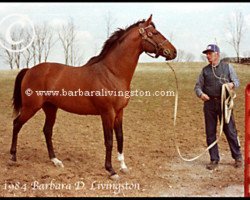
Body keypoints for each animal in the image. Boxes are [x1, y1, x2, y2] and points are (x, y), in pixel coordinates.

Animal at [10, 14, 177, 179]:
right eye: (154, 33)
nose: (173, 52)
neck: (111, 73)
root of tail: (29, 70)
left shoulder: (119, 112)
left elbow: (120, 137)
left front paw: (123, 166)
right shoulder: (107, 113)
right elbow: (109, 141)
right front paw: (111, 170)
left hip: (50, 108)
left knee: (47, 131)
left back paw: (55, 160)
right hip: (31, 107)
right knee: (17, 124)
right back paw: (13, 157)